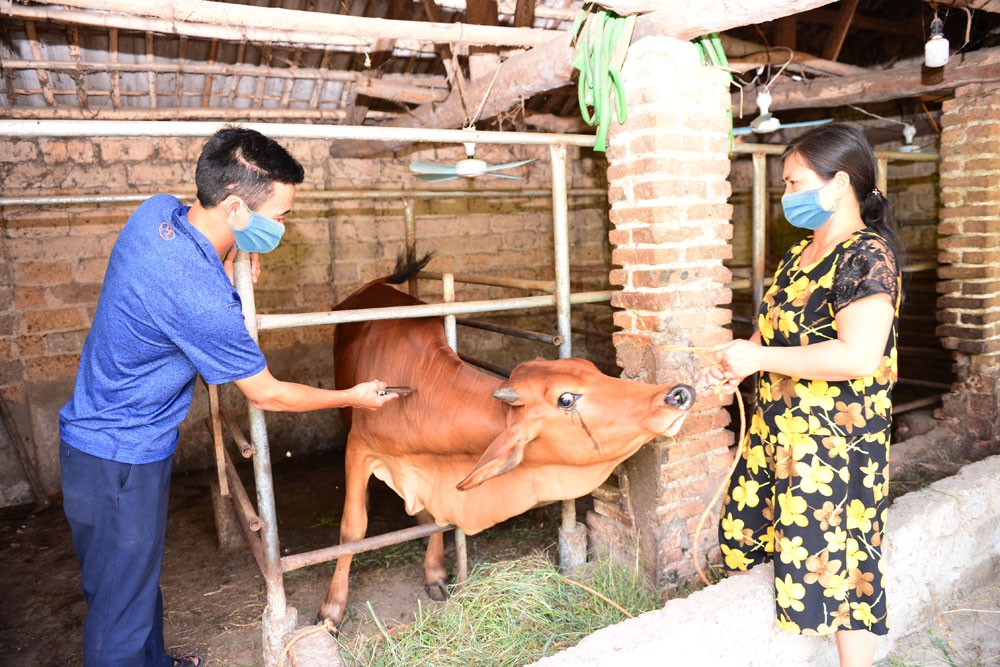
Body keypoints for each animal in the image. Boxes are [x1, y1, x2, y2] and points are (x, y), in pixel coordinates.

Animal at [320, 258, 696, 628]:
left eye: (590, 368)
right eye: (566, 399)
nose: (678, 393)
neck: (419, 399)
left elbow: (431, 516)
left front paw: (435, 572)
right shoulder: (358, 447)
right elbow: (352, 529)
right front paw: (331, 609)